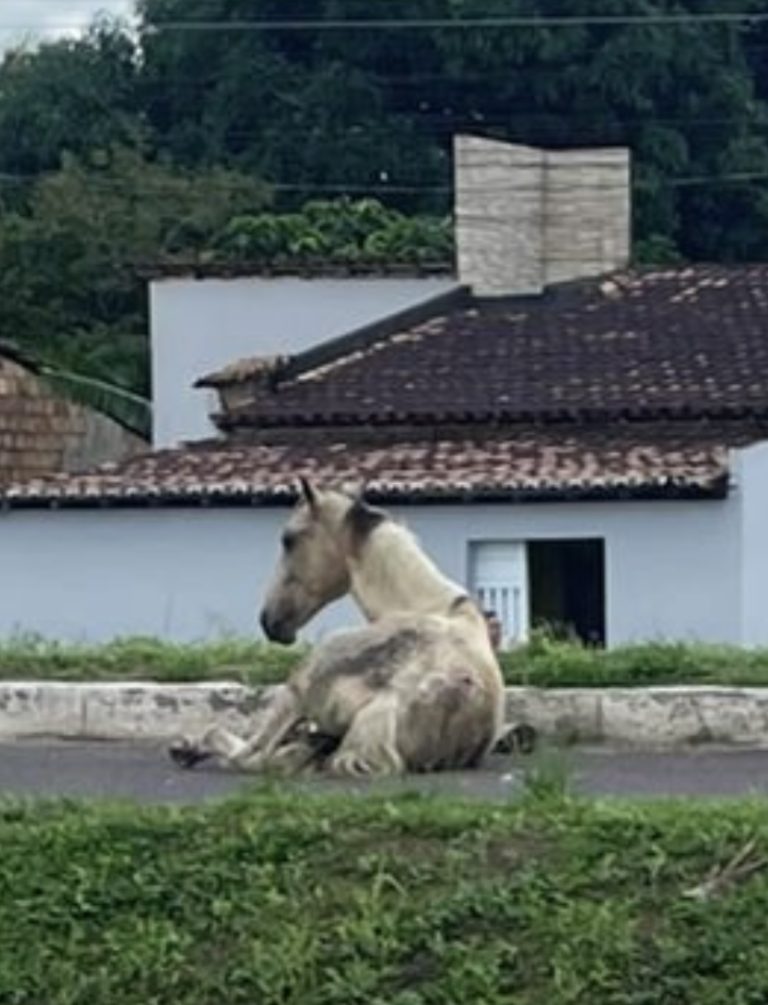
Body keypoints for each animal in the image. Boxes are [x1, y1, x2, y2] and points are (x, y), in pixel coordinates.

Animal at [169, 479, 509, 777]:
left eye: (288, 539)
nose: (270, 621)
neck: (431, 604)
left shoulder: (296, 695)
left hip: (300, 691)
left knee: (247, 754)